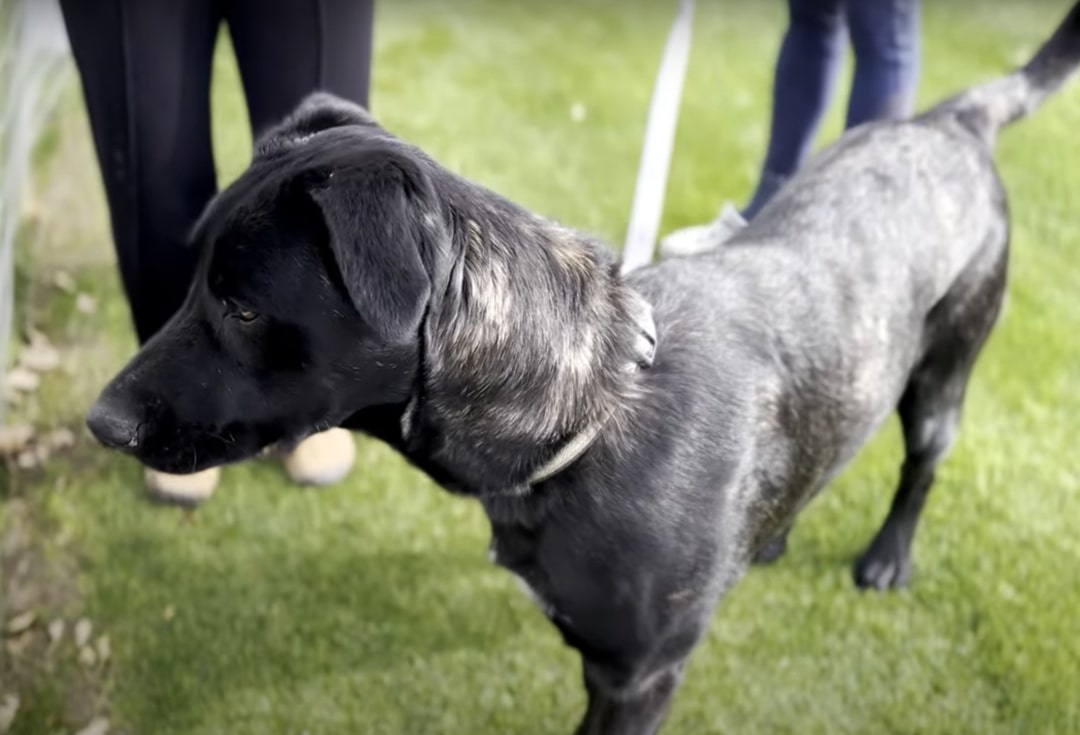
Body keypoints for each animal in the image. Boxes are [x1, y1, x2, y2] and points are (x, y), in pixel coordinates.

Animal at [86, 7, 1080, 733]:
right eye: (194, 283)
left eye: (246, 308)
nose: (99, 423)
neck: (591, 413)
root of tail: (953, 119)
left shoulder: (636, 679)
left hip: (945, 372)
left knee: (921, 464)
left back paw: (886, 556)